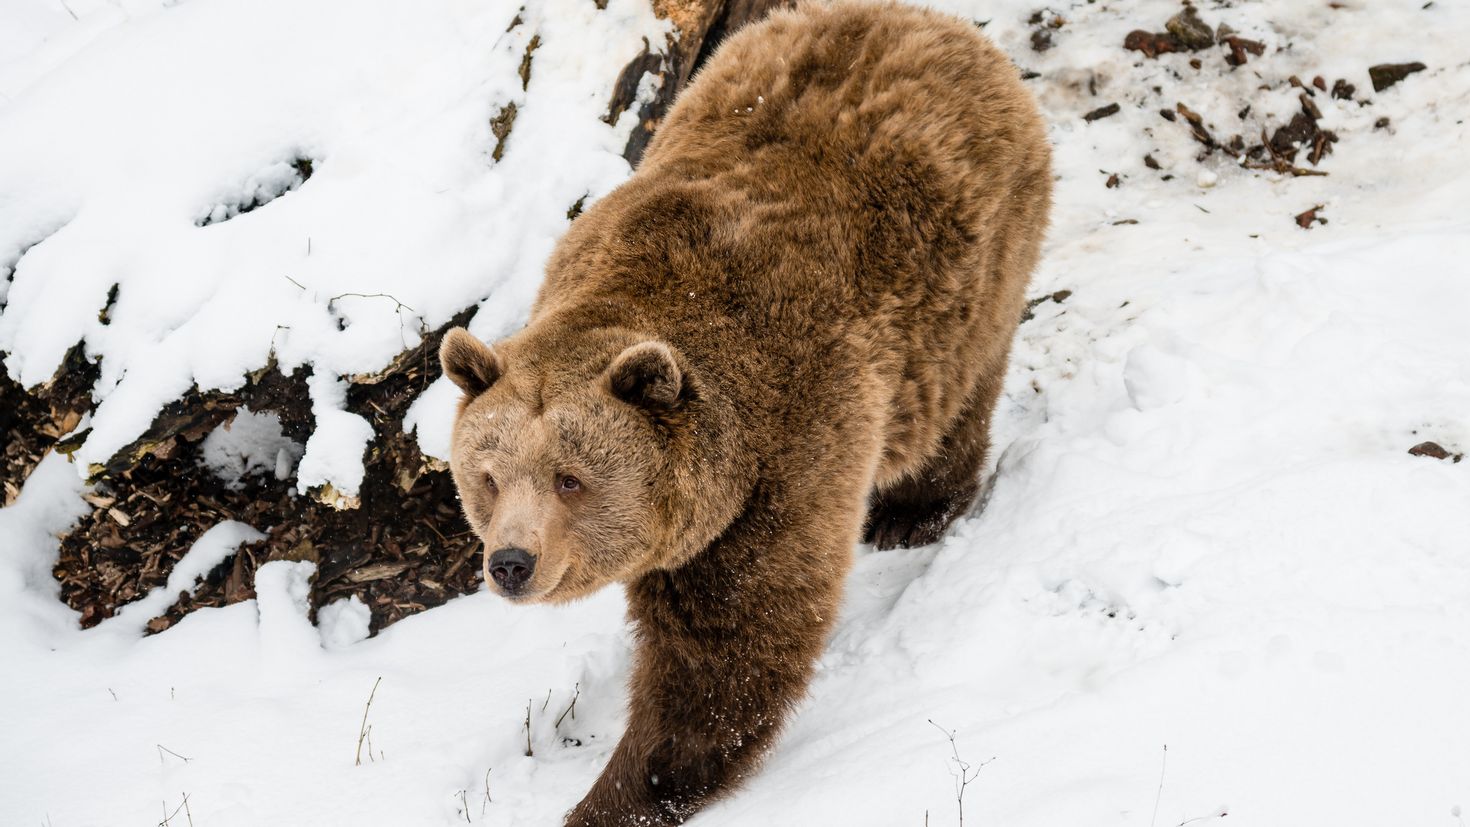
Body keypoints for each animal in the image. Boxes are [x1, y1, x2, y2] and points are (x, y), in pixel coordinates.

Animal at [435, 3, 1046, 822]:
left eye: (570, 478)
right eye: (489, 477)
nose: (510, 562)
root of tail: (938, 24)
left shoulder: (786, 457)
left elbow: (727, 653)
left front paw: (615, 792)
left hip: (973, 286)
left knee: (956, 403)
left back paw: (910, 513)